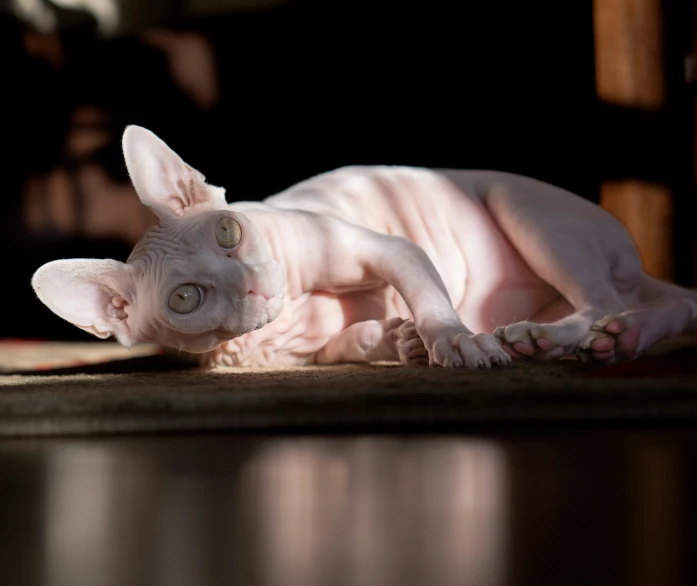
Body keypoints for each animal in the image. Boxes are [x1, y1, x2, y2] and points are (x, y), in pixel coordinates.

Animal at [29, 125, 696, 368]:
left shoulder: (389, 248)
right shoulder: (305, 357)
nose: (253, 284)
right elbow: (346, 344)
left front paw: (452, 340)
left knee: (603, 297)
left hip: (520, 204)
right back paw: (619, 337)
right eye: (186, 298)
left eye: (228, 232)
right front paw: (396, 341)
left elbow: (428, 299)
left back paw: (555, 338)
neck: (289, 318)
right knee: (665, 304)